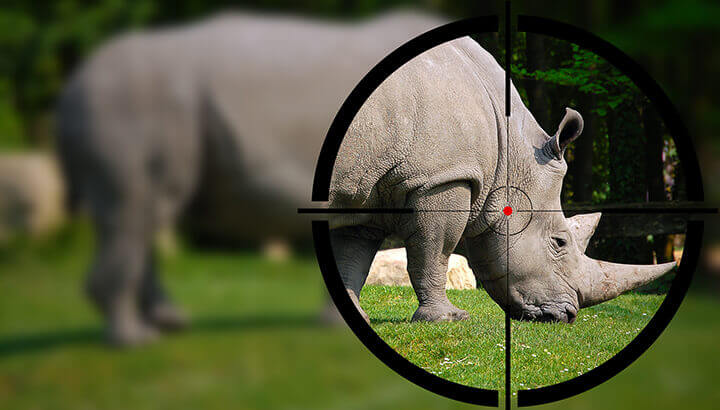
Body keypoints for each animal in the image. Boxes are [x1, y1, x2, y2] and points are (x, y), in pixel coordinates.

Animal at [56, 10, 447, 345]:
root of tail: (71, 88)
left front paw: (334, 324)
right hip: (130, 104)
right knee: (137, 212)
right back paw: (135, 341)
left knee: (141, 216)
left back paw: (166, 323)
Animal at [328, 37, 676, 323]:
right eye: (559, 242)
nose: (567, 316)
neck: (509, 151)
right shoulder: (443, 178)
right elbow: (433, 253)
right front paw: (449, 319)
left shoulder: (365, 186)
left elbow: (352, 257)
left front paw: (352, 315)